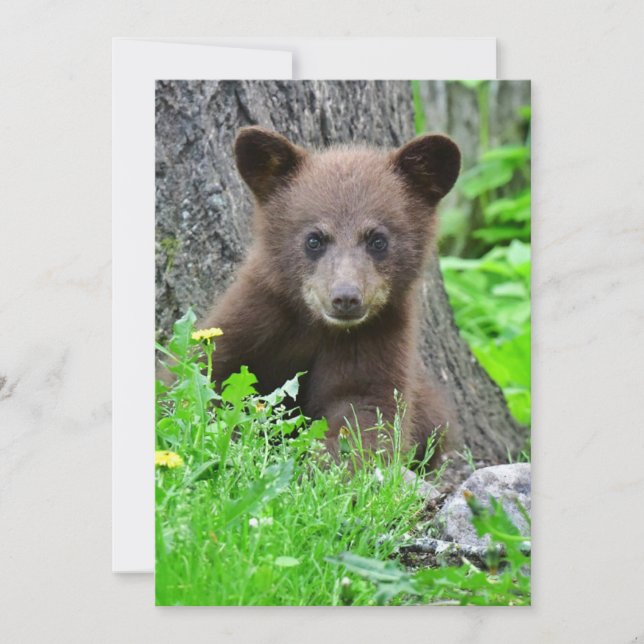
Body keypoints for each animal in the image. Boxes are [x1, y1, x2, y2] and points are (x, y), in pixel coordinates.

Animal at [199, 126, 463, 465]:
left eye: (378, 240)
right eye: (314, 239)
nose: (346, 297)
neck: (317, 326)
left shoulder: (377, 338)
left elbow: (366, 410)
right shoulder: (255, 316)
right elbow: (209, 373)